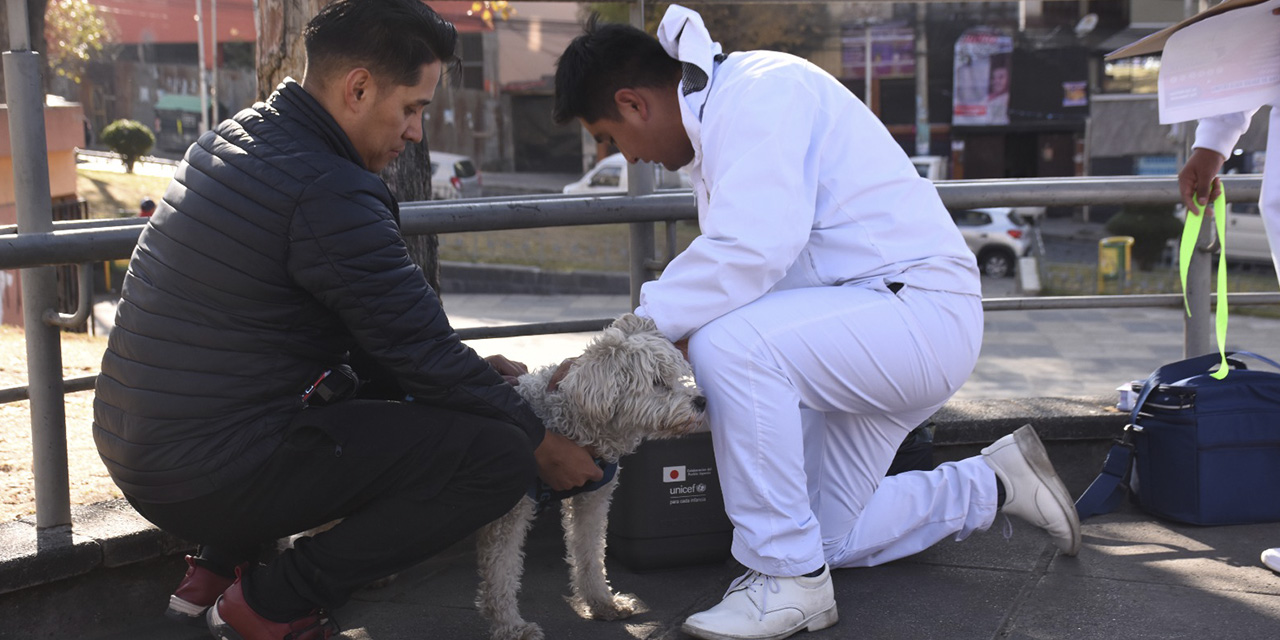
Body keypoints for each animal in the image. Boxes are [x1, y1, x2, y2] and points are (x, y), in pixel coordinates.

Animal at [476, 312, 706, 640]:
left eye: (674, 376)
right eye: (657, 383)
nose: (701, 401)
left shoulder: (593, 499)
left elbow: (590, 553)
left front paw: (603, 603)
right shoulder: (509, 516)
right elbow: (501, 571)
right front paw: (511, 626)